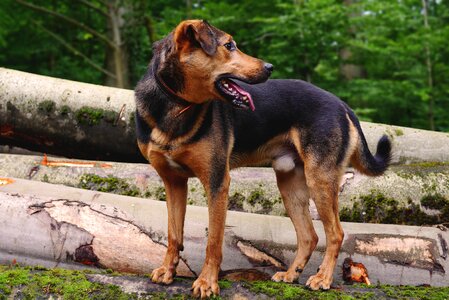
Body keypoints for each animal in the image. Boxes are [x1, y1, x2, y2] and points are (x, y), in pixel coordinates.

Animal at [133, 19, 388, 298]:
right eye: (229, 46)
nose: (270, 67)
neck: (175, 105)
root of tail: (341, 104)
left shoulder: (217, 181)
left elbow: (214, 241)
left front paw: (207, 283)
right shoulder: (173, 182)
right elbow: (173, 234)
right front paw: (167, 272)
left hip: (319, 179)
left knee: (336, 234)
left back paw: (323, 278)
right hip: (290, 184)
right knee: (309, 236)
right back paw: (291, 274)